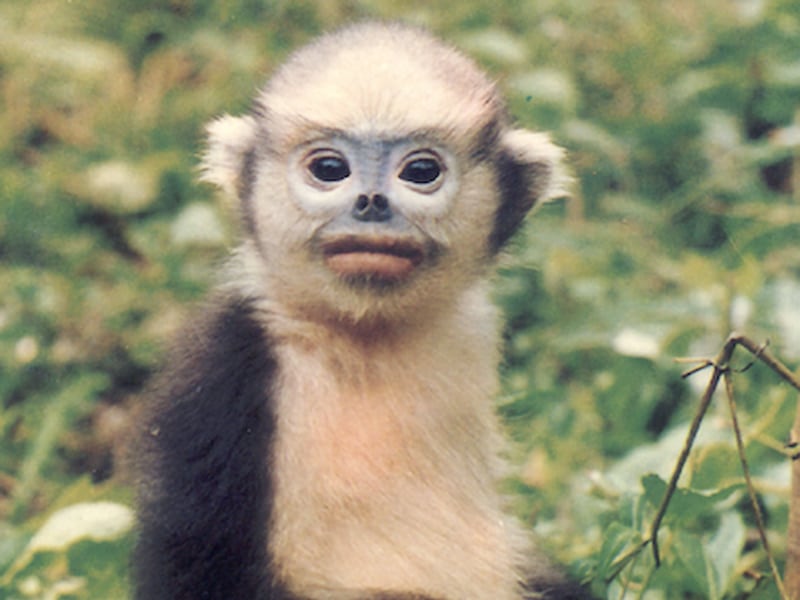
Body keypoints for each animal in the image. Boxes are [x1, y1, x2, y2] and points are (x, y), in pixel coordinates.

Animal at [132, 21, 591, 600]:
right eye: (330, 169)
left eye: (421, 170)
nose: (371, 203)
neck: (365, 337)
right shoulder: (227, 364)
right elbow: (197, 554)